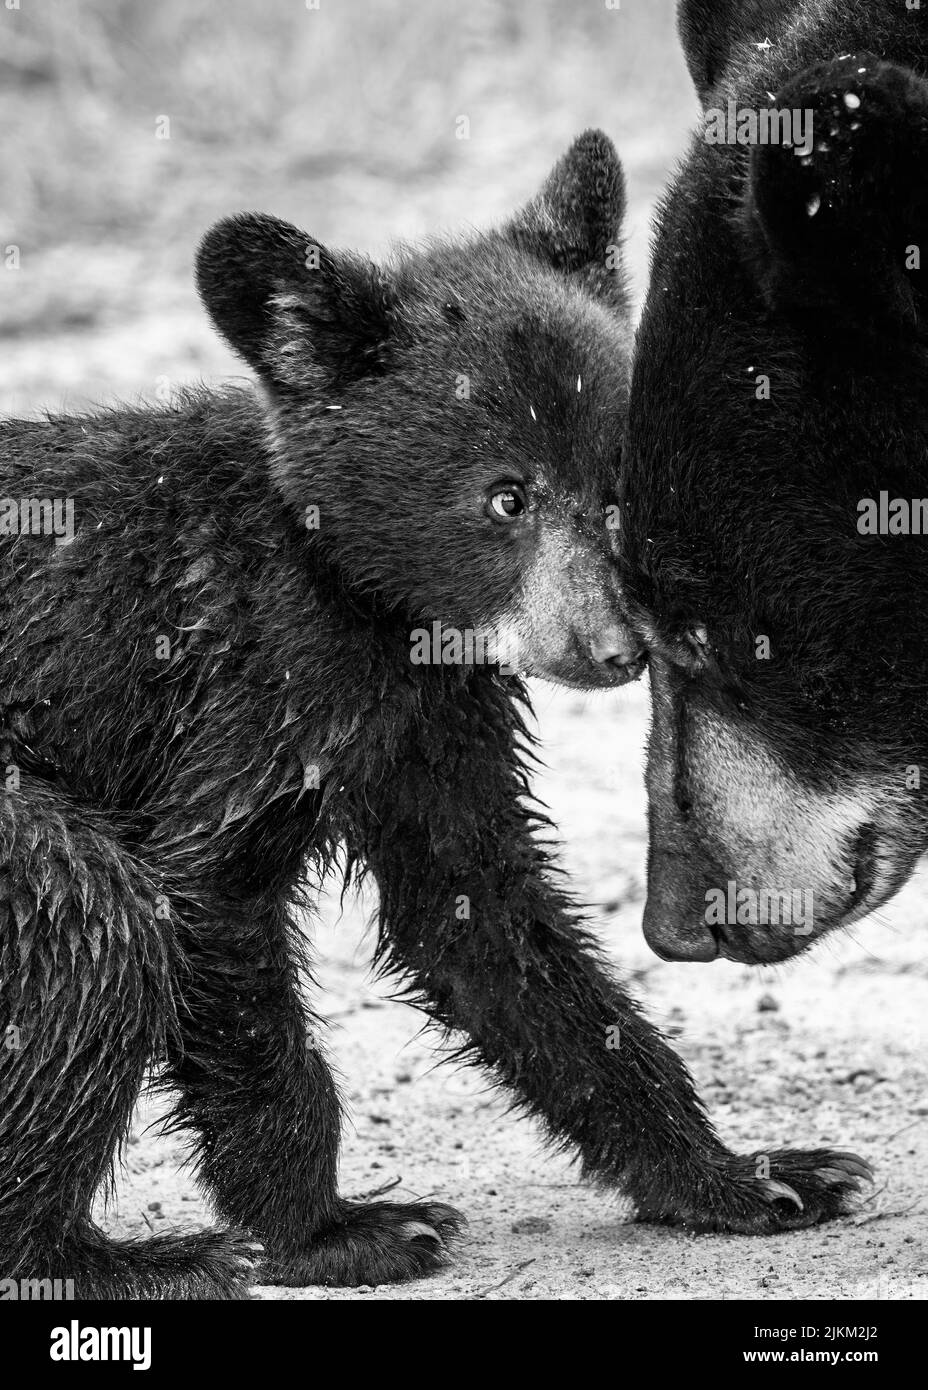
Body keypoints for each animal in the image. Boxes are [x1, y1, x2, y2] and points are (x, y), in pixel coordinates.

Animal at [0, 129, 870, 1300]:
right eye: (506, 496)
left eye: (619, 489)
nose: (615, 648)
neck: (366, 600)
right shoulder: (250, 687)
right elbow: (210, 901)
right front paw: (338, 1229)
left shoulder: (433, 719)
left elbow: (485, 916)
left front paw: (754, 1177)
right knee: (91, 916)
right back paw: (128, 1262)